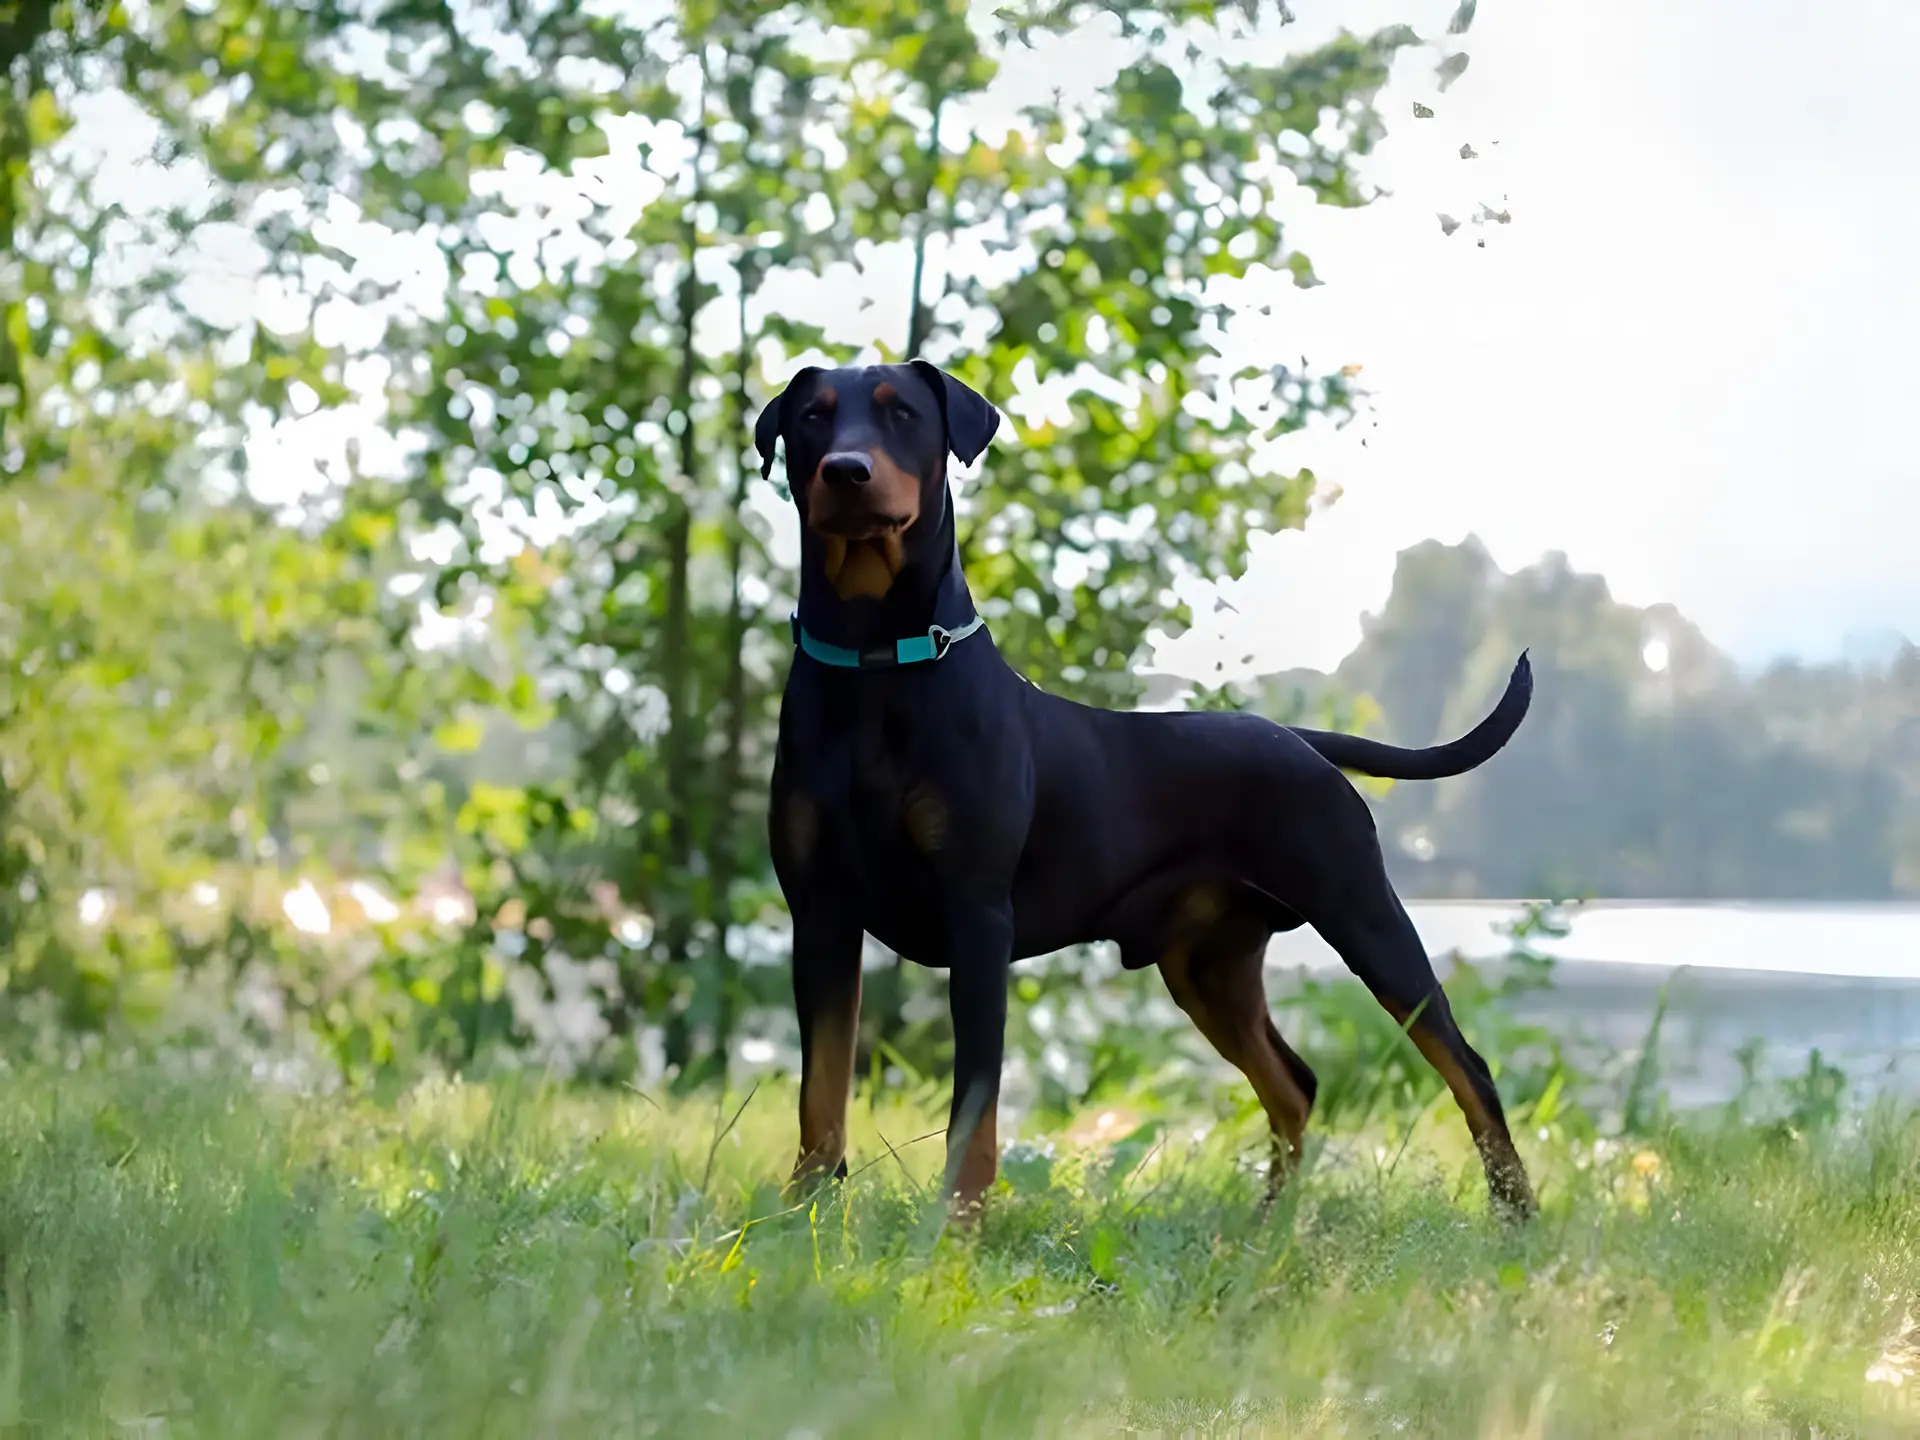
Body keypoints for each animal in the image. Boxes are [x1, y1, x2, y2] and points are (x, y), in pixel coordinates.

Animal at [756, 355, 1536, 1221]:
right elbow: (822, 1089)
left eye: (902, 415)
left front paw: (958, 1225)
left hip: (1362, 914)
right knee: (1294, 1084)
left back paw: (1514, 1219)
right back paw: (1267, 1228)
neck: (875, 664)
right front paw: (799, 1214)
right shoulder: (821, 912)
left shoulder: (978, 913)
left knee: (1465, 1066)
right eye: (813, 418)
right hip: (1206, 966)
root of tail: (1300, 740)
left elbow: (975, 1105)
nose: (845, 471)